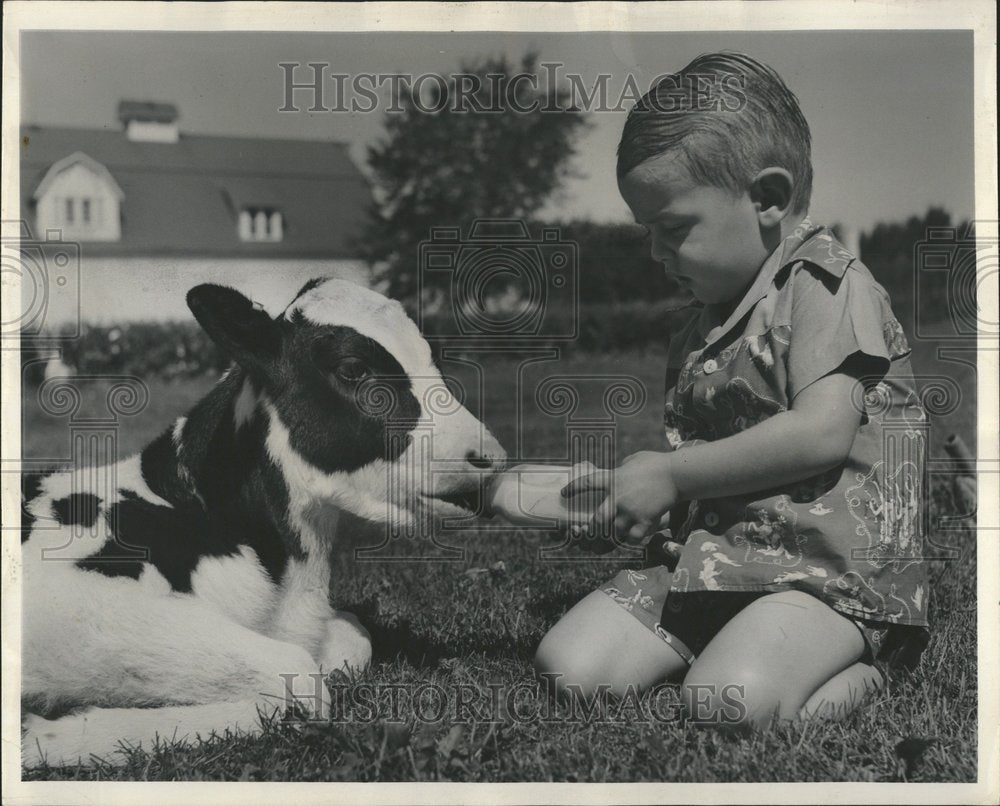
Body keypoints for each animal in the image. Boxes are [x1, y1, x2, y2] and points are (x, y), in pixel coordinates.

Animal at [21, 280, 508, 772]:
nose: (490, 456)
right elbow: (301, 683)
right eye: (353, 367)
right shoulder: (75, 601)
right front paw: (44, 735)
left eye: (432, 358)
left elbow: (352, 637)